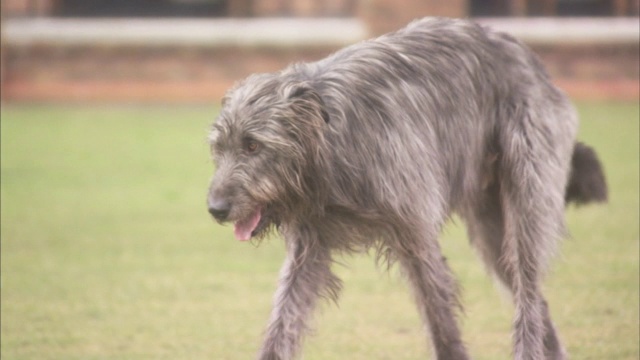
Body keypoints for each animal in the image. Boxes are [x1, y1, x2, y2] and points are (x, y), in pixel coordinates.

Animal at [205, 16, 604, 360]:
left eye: (253, 145)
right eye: (219, 148)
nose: (216, 209)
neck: (330, 143)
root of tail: (526, 54)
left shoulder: (416, 234)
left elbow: (440, 318)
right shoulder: (310, 246)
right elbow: (283, 320)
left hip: (528, 198)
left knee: (527, 290)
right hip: (492, 225)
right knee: (533, 297)